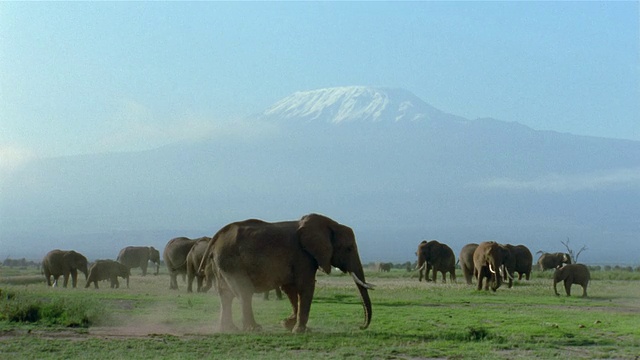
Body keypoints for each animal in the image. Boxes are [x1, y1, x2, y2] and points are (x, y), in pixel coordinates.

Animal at [201, 212, 376, 334]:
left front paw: (287, 324)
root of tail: (216, 238)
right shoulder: (303, 256)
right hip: (231, 261)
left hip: (221, 263)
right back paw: (254, 329)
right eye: (349, 248)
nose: (360, 326)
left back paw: (229, 329)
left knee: (226, 294)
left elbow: (291, 289)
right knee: (244, 292)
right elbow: (305, 287)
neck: (330, 224)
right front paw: (299, 331)